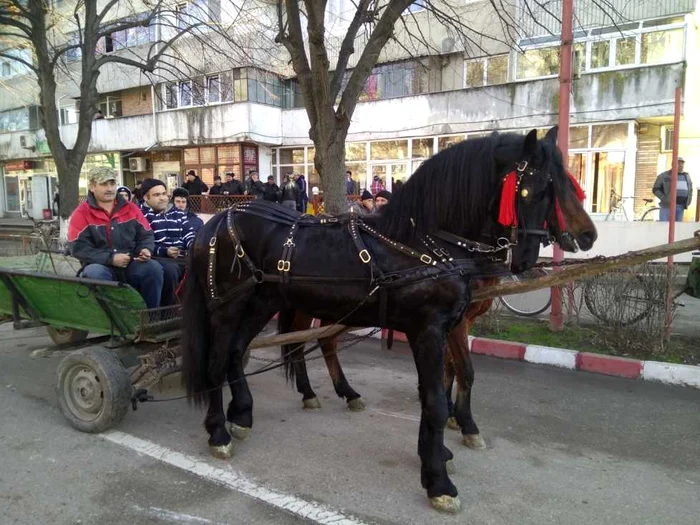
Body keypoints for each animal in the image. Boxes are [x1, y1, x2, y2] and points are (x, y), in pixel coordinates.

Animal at [180, 127, 596, 512]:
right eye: (542, 187)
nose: (588, 235)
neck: (427, 244)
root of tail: (217, 220)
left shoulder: (445, 328)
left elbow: (444, 385)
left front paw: (439, 453)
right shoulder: (427, 330)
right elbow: (436, 399)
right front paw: (438, 481)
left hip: (263, 303)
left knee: (239, 352)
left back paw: (243, 414)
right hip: (228, 308)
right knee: (217, 362)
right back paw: (219, 432)